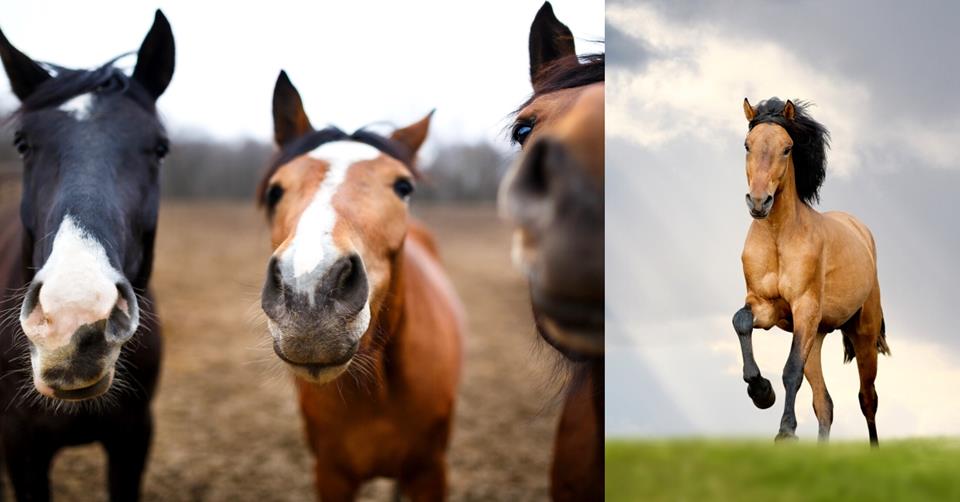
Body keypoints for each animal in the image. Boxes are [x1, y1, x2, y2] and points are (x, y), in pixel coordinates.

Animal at [256, 71, 463, 501]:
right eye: (275, 190)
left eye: (403, 187)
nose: (310, 292)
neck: (377, 394)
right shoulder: (331, 474)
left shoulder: (431, 472)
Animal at [734, 97, 889, 445]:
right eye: (748, 145)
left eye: (788, 148)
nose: (759, 202)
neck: (779, 237)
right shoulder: (766, 307)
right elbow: (741, 321)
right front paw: (761, 392)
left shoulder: (804, 308)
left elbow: (791, 370)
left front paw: (785, 432)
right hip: (816, 335)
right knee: (824, 404)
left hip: (863, 333)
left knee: (867, 398)